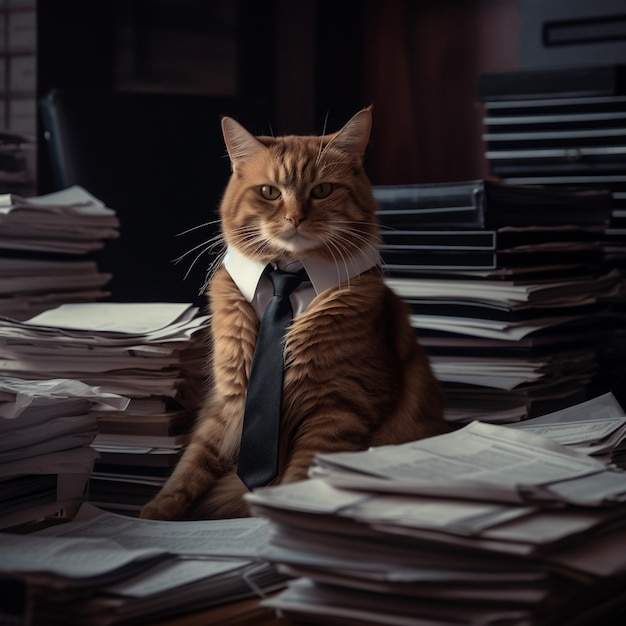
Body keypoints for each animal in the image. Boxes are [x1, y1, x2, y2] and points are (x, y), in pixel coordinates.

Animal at [139, 109, 446, 520]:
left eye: (322, 190)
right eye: (270, 192)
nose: (295, 217)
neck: (286, 277)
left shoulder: (339, 408)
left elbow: (300, 477)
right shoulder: (228, 402)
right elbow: (191, 464)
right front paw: (155, 512)